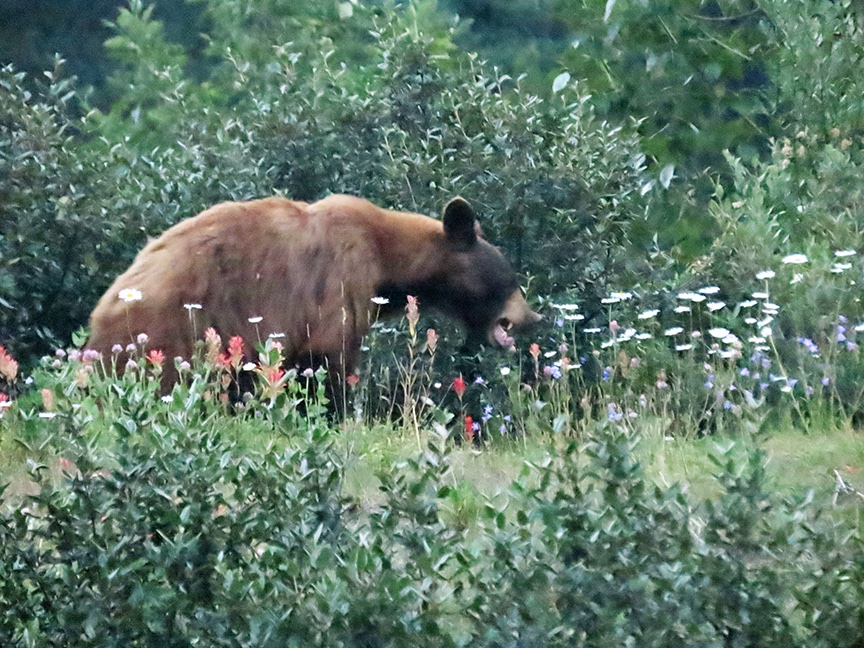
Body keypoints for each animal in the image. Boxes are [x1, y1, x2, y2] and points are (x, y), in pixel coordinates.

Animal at [87, 194, 541, 400]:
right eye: (509, 278)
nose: (532, 317)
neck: (388, 257)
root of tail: (96, 321)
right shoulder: (341, 282)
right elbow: (329, 360)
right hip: (172, 333)